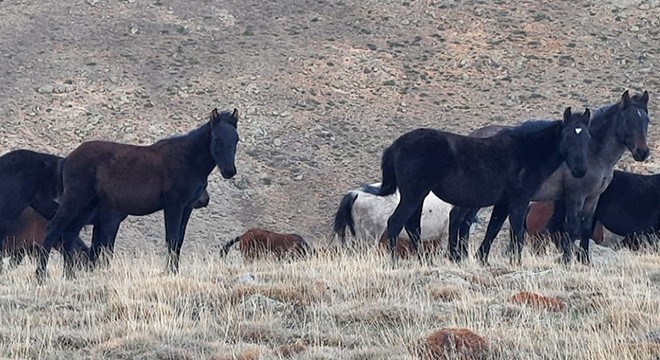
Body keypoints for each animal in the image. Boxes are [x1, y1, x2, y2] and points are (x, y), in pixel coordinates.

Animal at [35, 108, 240, 282]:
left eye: (236, 139)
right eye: (216, 138)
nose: (229, 171)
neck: (187, 159)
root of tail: (68, 158)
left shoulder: (187, 207)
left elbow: (179, 241)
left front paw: (175, 271)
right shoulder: (174, 205)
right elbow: (172, 238)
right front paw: (170, 272)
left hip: (87, 205)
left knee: (69, 233)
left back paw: (70, 276)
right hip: (75, 200)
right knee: (54, 229)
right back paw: (41, 276)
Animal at [358, 107, 592, 264]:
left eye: (588, 136)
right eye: (568, 135)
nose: (580, 171)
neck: (529, 151)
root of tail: (396, 145)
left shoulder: (503, 203)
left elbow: (494, 228)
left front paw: (484, 259)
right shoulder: (519, 200)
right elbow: (517, 230)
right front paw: (516, 262)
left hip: (418, 196)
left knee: (412, 226)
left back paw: (424, 261)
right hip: (413, 195)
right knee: (395, 223)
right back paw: (394, 261)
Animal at [456, 90, 652, 264]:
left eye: (646, 120)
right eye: (627, 120)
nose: (642, 152)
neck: (591, 152)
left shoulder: (593, 198)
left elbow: (586, 228)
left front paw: (585, 261)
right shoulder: (574, 196)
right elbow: (572, 229)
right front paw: (567, 261)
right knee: (462, 218)